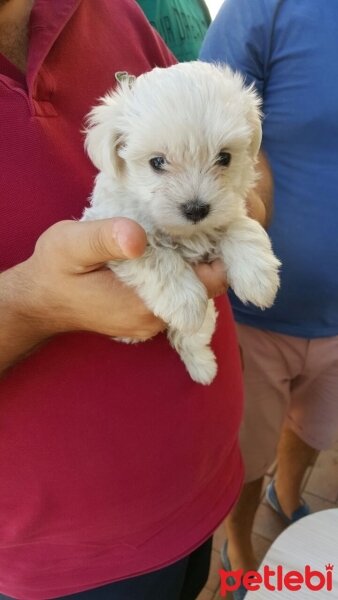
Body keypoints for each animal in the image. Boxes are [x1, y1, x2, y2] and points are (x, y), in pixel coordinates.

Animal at [82, 59, 280, 380]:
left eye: (224, 158)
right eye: (157, 162)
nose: (196, 209)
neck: (188, 233)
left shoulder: (230, 207)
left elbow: (241, 225)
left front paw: (258, 278)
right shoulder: (113, 228)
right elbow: (154, 256)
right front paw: (185, 301)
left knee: (193, 336)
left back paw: (203, 367)